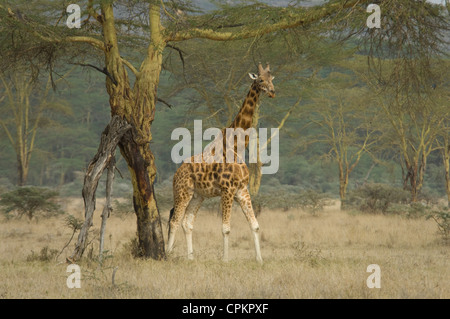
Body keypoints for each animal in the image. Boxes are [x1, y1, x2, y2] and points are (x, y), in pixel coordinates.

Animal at [168, 63, 276, 264]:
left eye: (271, 79)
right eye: (260, 80)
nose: (272, 92)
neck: (237, 146)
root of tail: (176, 173)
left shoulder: (242, 190)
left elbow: (255, 225)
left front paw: (259, 260)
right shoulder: (228, 190)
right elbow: (226, 228)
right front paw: (225, 260)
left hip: (198, 195)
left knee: (187, 222)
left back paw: (191, 258)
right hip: (183, 192)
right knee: (174, 220)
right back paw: (167, 255)